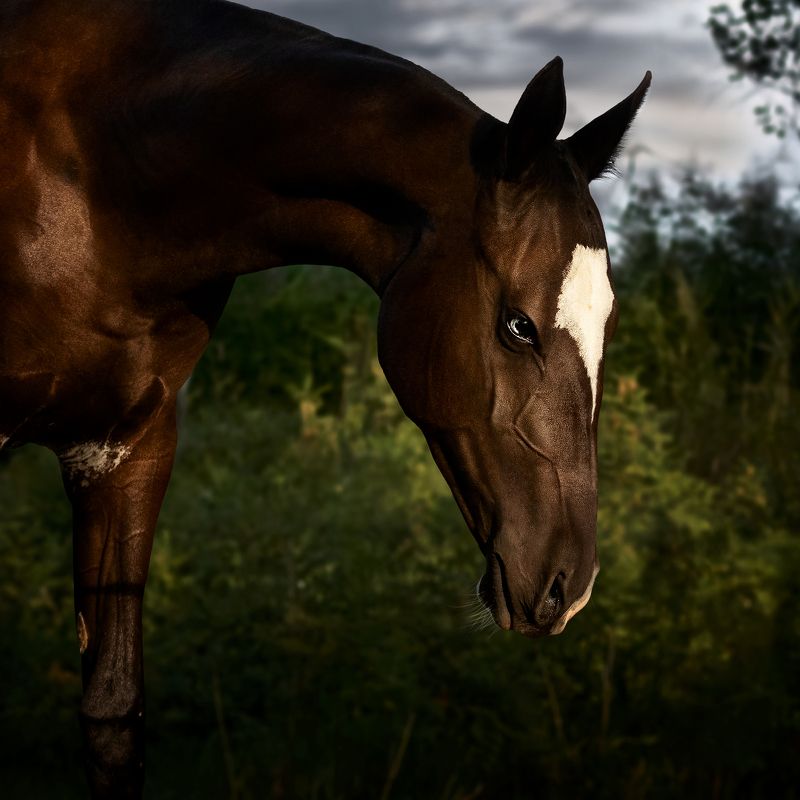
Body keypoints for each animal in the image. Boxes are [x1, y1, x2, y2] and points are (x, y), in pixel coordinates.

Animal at [0, 0, 650, 795]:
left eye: (609, 322)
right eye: (517, 325)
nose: (568, 586)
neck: (96, 178)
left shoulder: (126, 449)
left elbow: (113, 711)